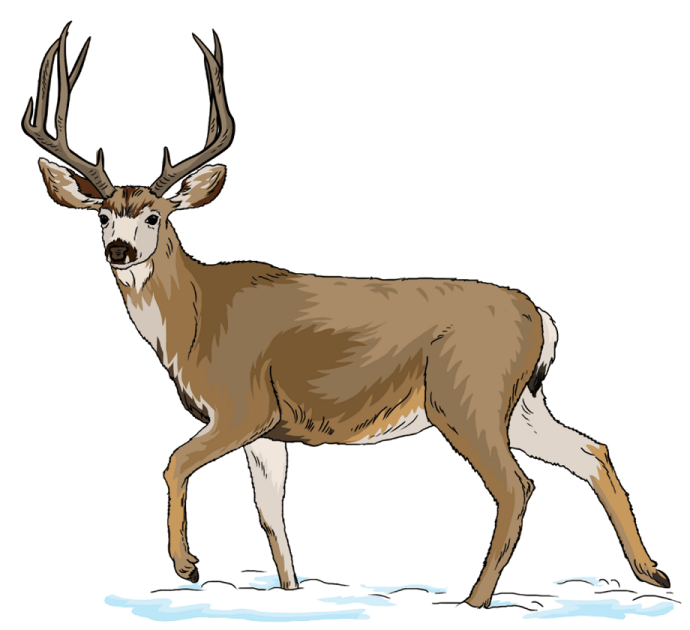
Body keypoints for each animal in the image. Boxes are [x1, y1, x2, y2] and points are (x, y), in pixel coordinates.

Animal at [22, 20, 670, 609]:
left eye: (155, 215)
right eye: (102, 215)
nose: (119, 250)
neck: (195, 319)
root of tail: (541, 316)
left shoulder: (241, 404)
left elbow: (174, 462)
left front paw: (187, 566)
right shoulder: (269, 428)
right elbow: (272, 516)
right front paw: (290, 595)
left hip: (465, 394)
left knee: (516, 486)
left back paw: (472, 603)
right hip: (521, 399)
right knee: (594, 454)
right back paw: (653, 575)